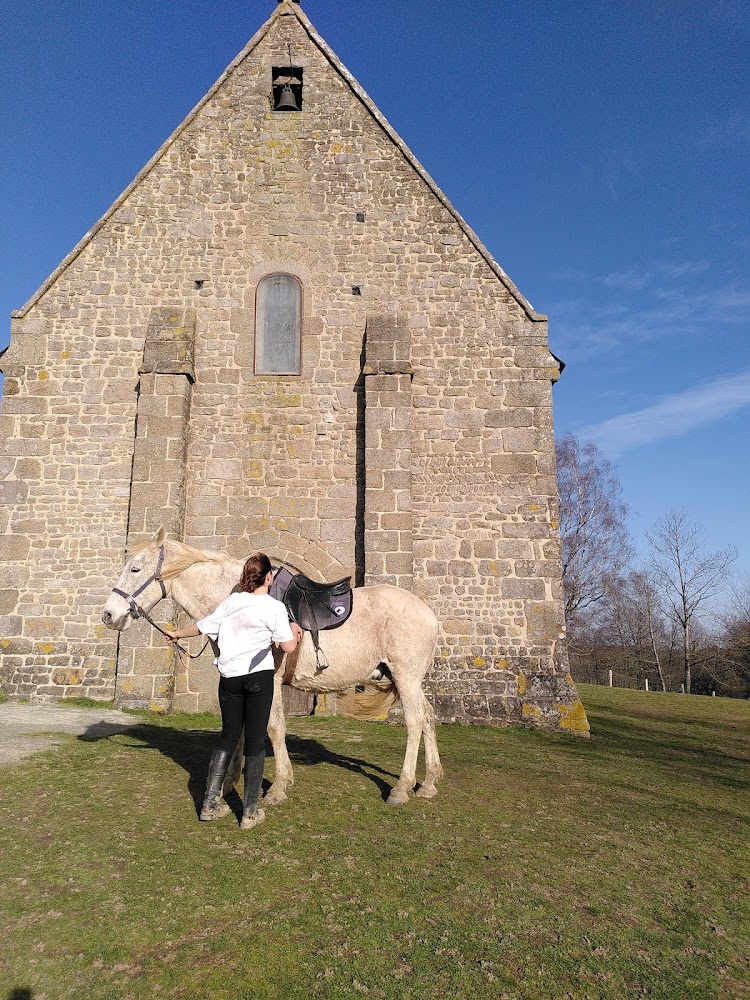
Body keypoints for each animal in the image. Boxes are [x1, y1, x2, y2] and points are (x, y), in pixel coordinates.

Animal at [101, 527, 443, 806]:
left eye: (135, 568)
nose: (108, 615)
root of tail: (428, 612)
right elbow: (240, 728)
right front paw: (229, 783)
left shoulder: (269, 680)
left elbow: (274, 727)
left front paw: (278, 786)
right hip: (407, 681)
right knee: (427, 716)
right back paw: (428, 784)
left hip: (406, 677)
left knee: (414, 722)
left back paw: (402, 788)